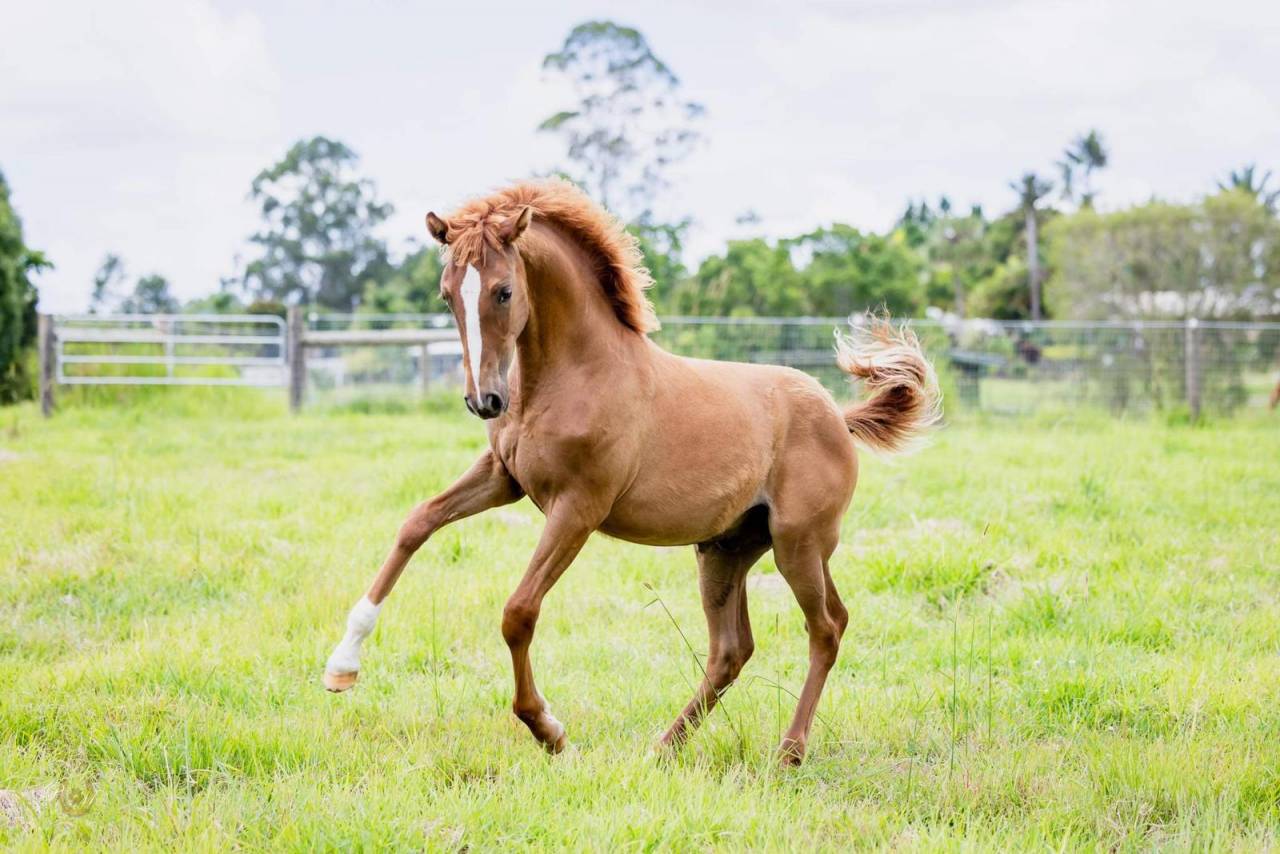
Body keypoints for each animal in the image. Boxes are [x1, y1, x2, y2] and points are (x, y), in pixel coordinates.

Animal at [322, 180, 941, 764]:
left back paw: (788, 752)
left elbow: (518, 612)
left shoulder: (578, 507)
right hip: (724, 552)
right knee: (732, 650)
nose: (485, 401)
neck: (573, 374)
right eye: (447, 294)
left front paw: (549, 731)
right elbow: (416, 524)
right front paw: (341, 665)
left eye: (503, 291)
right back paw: (663, 748)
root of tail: (838, 416)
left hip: (799, 544)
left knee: (826, 627)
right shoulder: (505, 478)